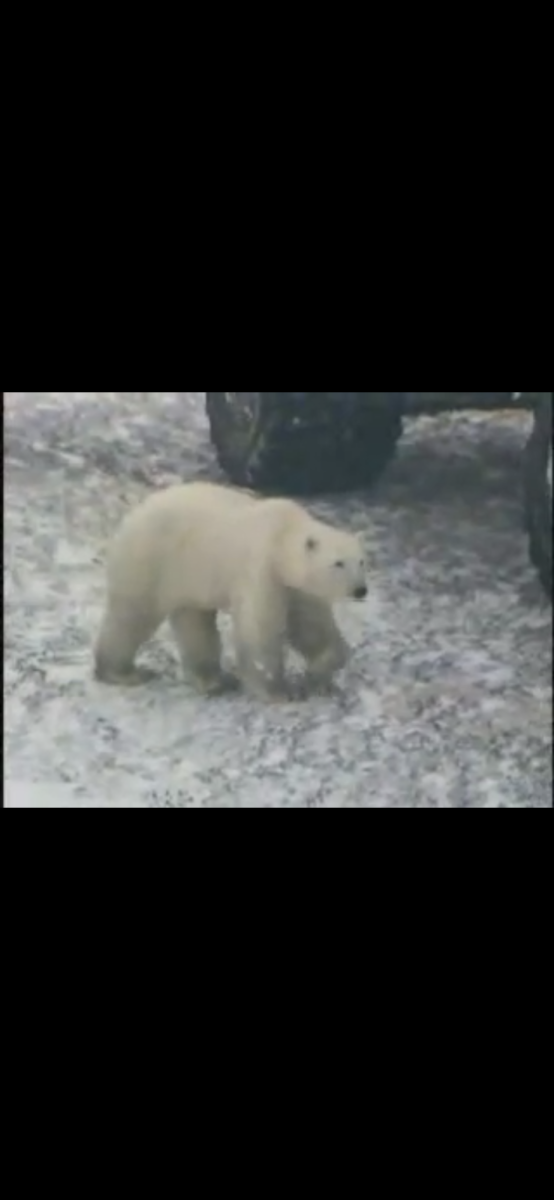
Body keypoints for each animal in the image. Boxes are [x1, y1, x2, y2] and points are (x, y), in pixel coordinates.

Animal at [94, 482, 368, 702]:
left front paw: (320, 676)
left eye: (361, 561)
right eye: (338, 563)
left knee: (194, 623)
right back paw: (123, 672)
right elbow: (259, 630)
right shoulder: (260, 569)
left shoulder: (295, 587)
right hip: (151, 560)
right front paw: (279, 691)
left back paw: (215, 682)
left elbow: (312, 625)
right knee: (132, 616)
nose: (361, 590)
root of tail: (131, 516)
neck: (282, 534)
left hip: (189, 576)